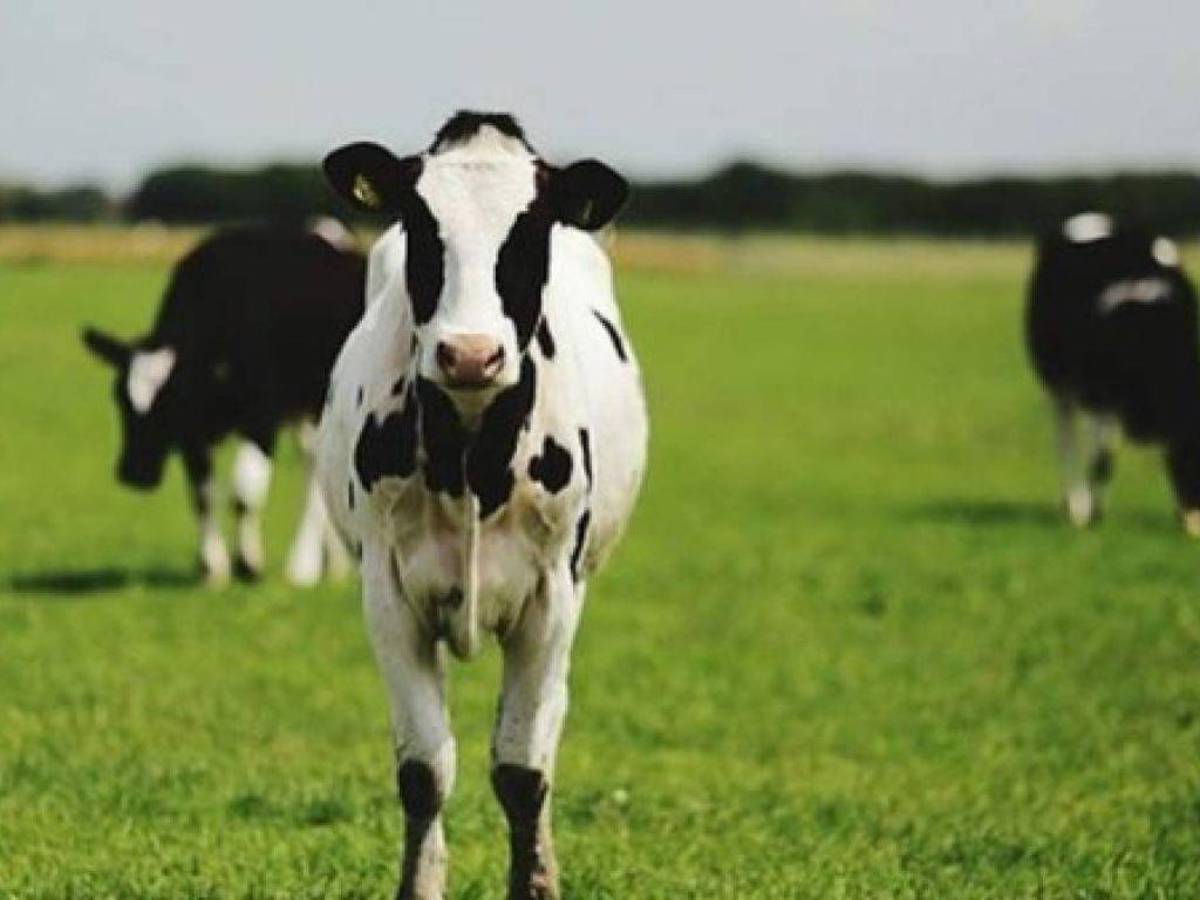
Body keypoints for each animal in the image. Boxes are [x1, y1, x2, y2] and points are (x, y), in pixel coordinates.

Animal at [82, 222, 366, 585]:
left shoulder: (261, 417)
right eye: (119, 398)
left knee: (315, 470)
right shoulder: (193, 434)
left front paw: (247, 563)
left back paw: (303, 565)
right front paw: (212, 566)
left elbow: (244, 494)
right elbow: (202, 496)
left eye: (170, 402)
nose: (133, 472)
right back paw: (332, 562)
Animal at [316, 111, 648, 899]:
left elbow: (524, 770)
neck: (472, 455)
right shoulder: (387, 596)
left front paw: (535, 882)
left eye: (530, 229)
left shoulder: (552, 596)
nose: (470, 354)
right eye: (420, 222)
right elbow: (424, 769)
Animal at [1026, 211, 1200, 533]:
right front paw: (1092, 514)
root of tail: (1093, 217)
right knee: (1066, 442)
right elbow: (1102, 460)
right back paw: (1075, 506)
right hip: (1059, 387)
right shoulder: (1099, 396)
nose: (1195, 520)